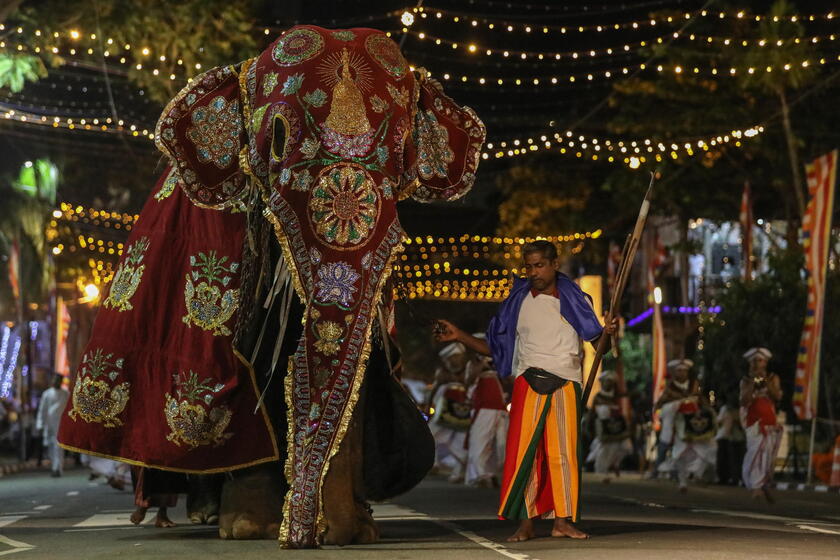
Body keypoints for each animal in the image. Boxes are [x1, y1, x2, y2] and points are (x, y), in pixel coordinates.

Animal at [59, 25, 486, 548]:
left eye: (404, 148)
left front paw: (350, 533)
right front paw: (248, 527)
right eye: (277, 137)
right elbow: (254, 362)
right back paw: (209, 514)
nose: (300, 537)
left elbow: (360, 363)